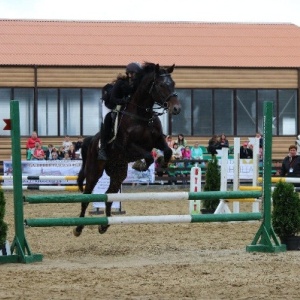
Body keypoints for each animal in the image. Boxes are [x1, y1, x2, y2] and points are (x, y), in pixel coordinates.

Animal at [74, 62, 182, 237]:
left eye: (173, 84)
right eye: (160, 85)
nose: (176, 108)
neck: (142, 115)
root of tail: (91, 141)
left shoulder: (158, 140)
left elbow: (168, 151)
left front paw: (163, 163)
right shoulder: (128, 147)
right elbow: (148, 156)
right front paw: (141, 165)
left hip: (118, 172)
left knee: (109, 195)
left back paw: (104, 225)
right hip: (94, 171)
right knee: (87, 196)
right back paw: (78, 228)